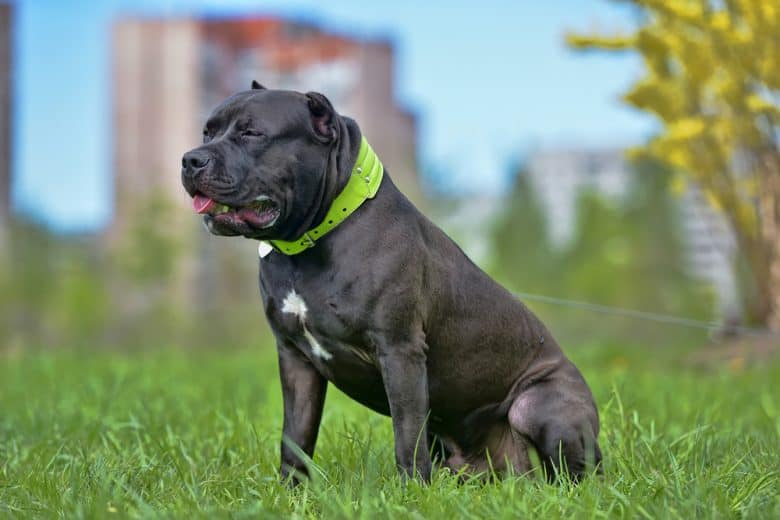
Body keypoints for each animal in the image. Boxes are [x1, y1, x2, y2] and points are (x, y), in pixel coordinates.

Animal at [181, 82, 604, 484]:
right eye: (207, 132)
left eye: (252, 132)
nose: (190, 159)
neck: (311, 241)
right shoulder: (295, 358)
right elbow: (295, 439)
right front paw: (290, 493)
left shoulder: (399, 351)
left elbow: (406, 435)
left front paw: (412, 492)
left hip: (542, 405)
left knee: (577, 472)